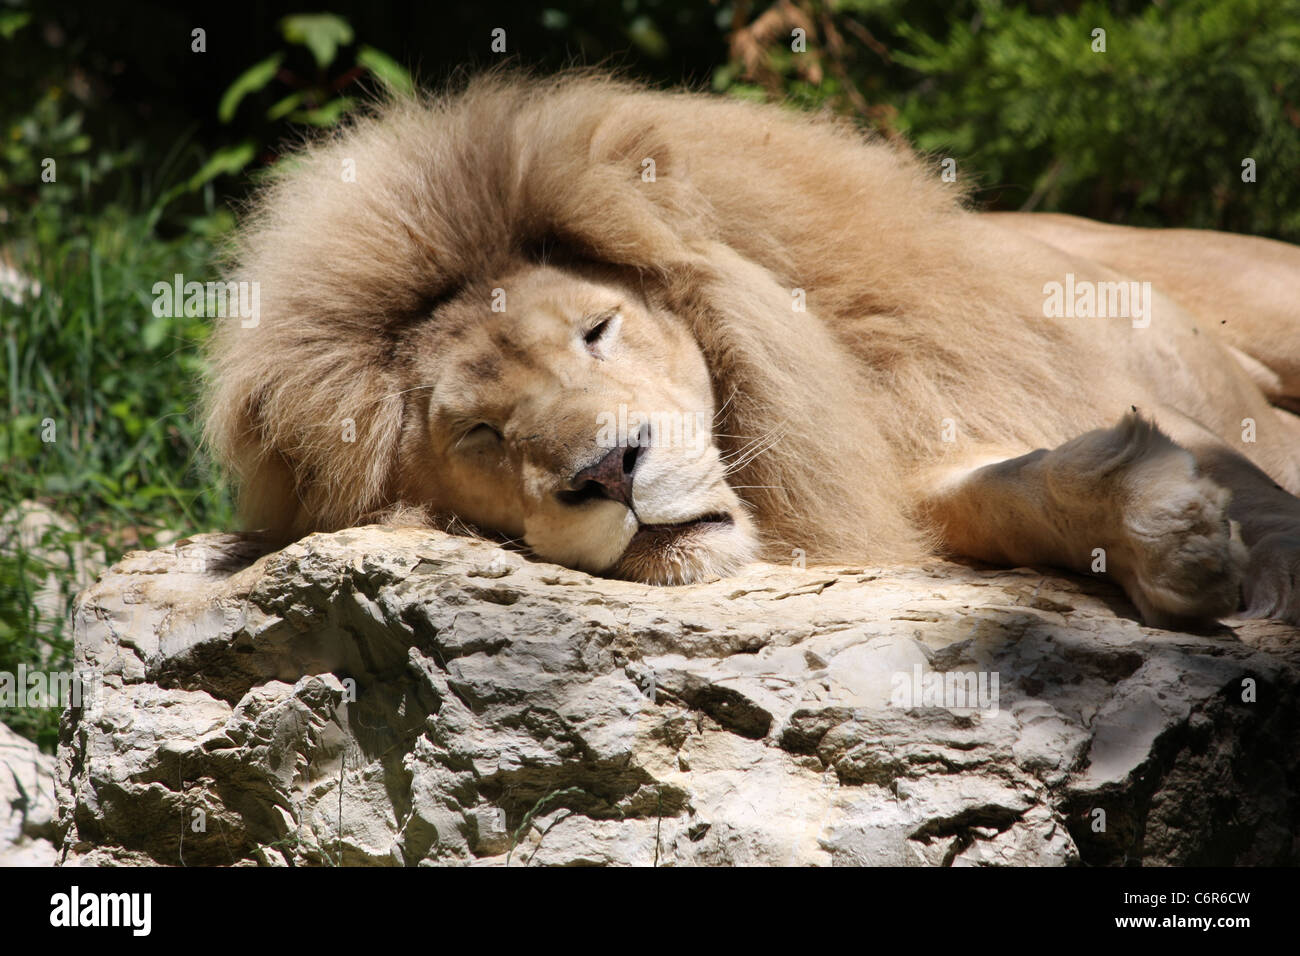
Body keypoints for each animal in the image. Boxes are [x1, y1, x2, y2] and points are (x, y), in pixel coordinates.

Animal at [205, 72, 1300, 629]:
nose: (609, 471)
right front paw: (1166, 534)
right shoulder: (882, 480)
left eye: (597, 331)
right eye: (478, 431)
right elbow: (997, 492)